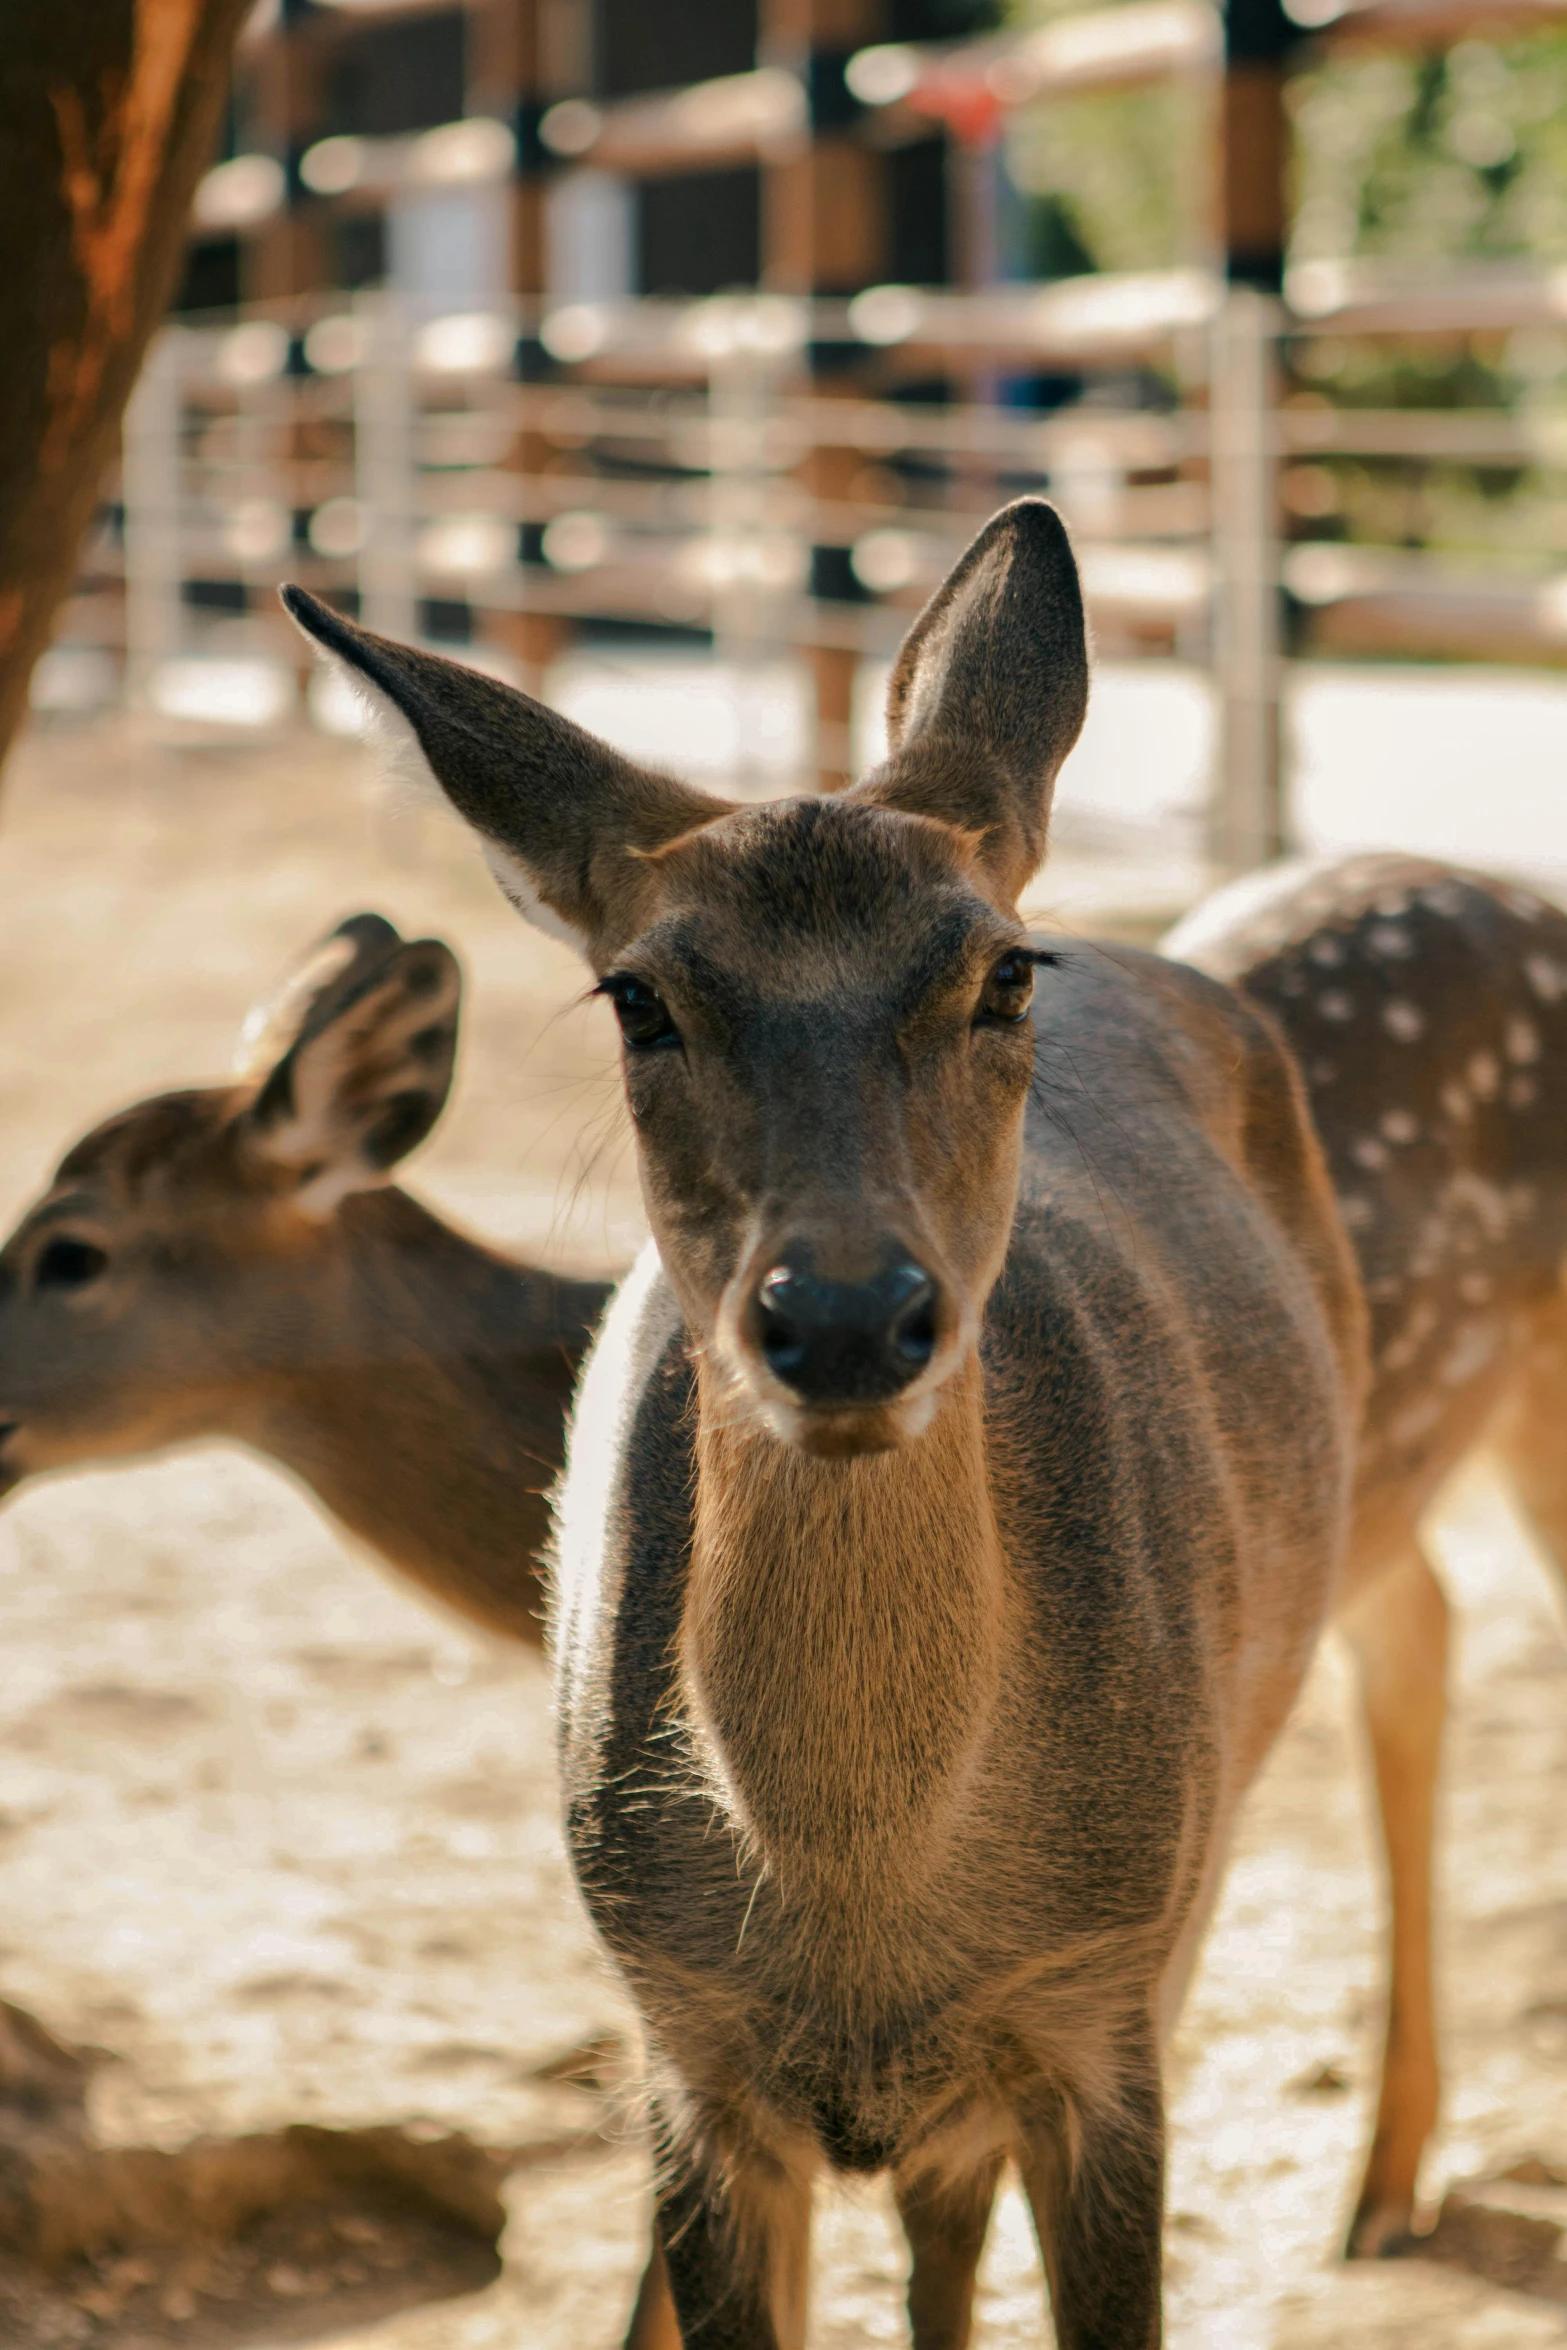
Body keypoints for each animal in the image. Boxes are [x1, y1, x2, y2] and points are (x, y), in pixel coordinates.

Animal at [278, 500, 1372, 2350]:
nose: (848, 1316)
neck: (861, 1902)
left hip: (1217, 1827)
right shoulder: (683, 2049)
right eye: (638, 997)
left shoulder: (1102, 2004)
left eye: (1001, 971)